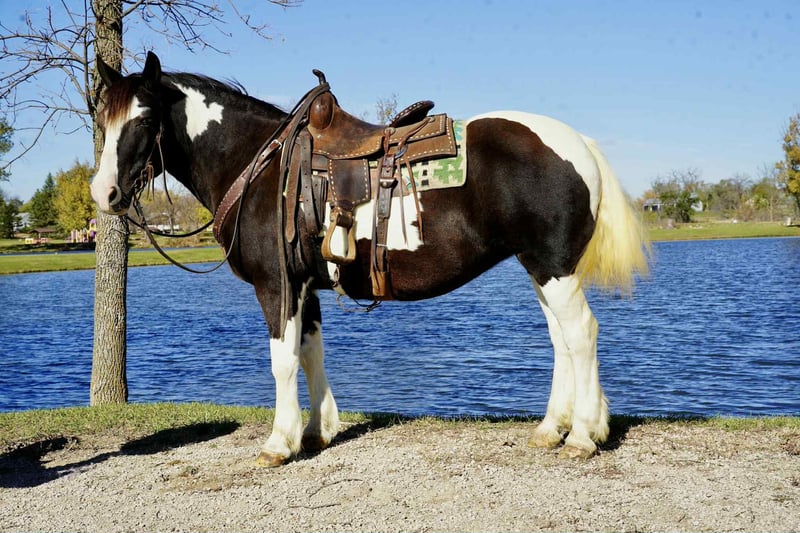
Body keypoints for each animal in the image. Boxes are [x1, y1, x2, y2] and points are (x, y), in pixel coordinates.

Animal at [90, 52, 648, 466]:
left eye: (144, 118)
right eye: (102, 119)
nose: (104, 192)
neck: (258, 166)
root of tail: (579, 143)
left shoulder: (276, 286)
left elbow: (282, 360)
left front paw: (279, 442)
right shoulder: (304, 286)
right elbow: (310, 353)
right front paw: (317, 431)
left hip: (553, 268)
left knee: (580, 335)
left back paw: (583, 435)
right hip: (542, 267)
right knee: (562, 340)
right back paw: (554, 428)